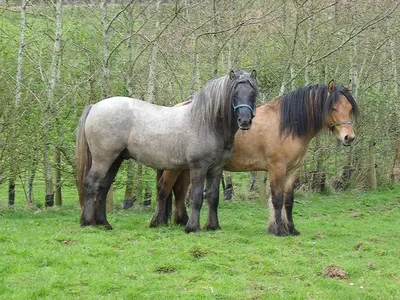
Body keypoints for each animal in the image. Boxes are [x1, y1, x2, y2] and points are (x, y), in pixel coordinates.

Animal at [76, 70, 258, 232]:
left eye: (253, 93)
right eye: (234, 93)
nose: (244, 121)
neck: (208, 123)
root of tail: (95, 107)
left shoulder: (216, 169)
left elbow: (213, 198)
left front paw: (213, 226)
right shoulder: (198, 167)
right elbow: (197, 197)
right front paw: (193, 227)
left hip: (116, 159)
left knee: (103, 187)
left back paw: (104, 223)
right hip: (103, 159)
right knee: (91, 184)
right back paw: (88, 222)